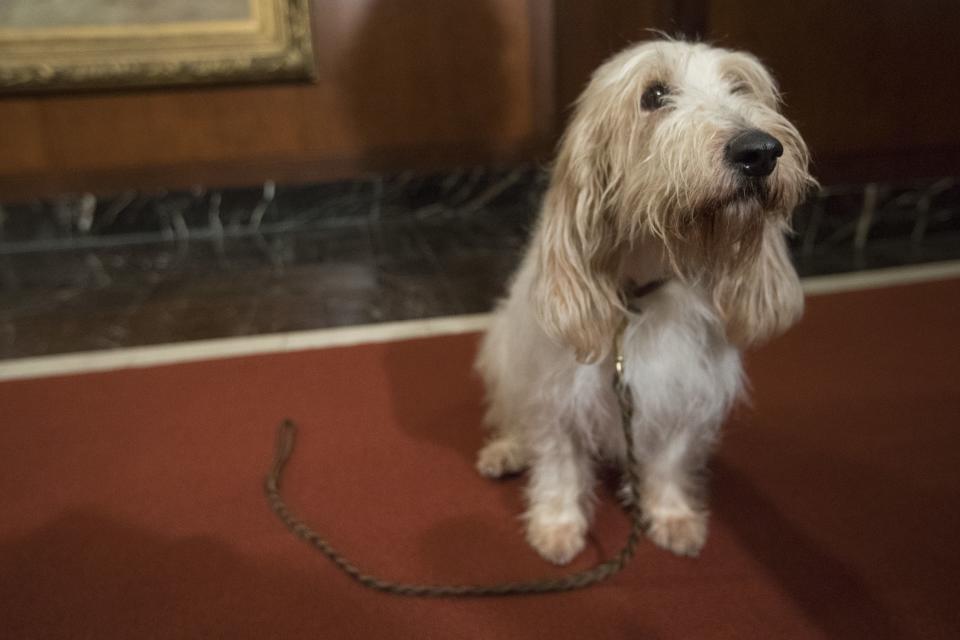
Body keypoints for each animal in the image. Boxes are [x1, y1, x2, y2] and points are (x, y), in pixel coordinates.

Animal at [476, 37, 812, 564]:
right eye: (653, 95)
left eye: (740, 87)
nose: (759, 151)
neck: (646, 291)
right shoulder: (555, 394)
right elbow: (558, 462)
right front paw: (557, 526)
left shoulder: (687, 391)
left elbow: (671, 460)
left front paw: (671, 515)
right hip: (502, 353)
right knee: (510, 413)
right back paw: (506, 450)